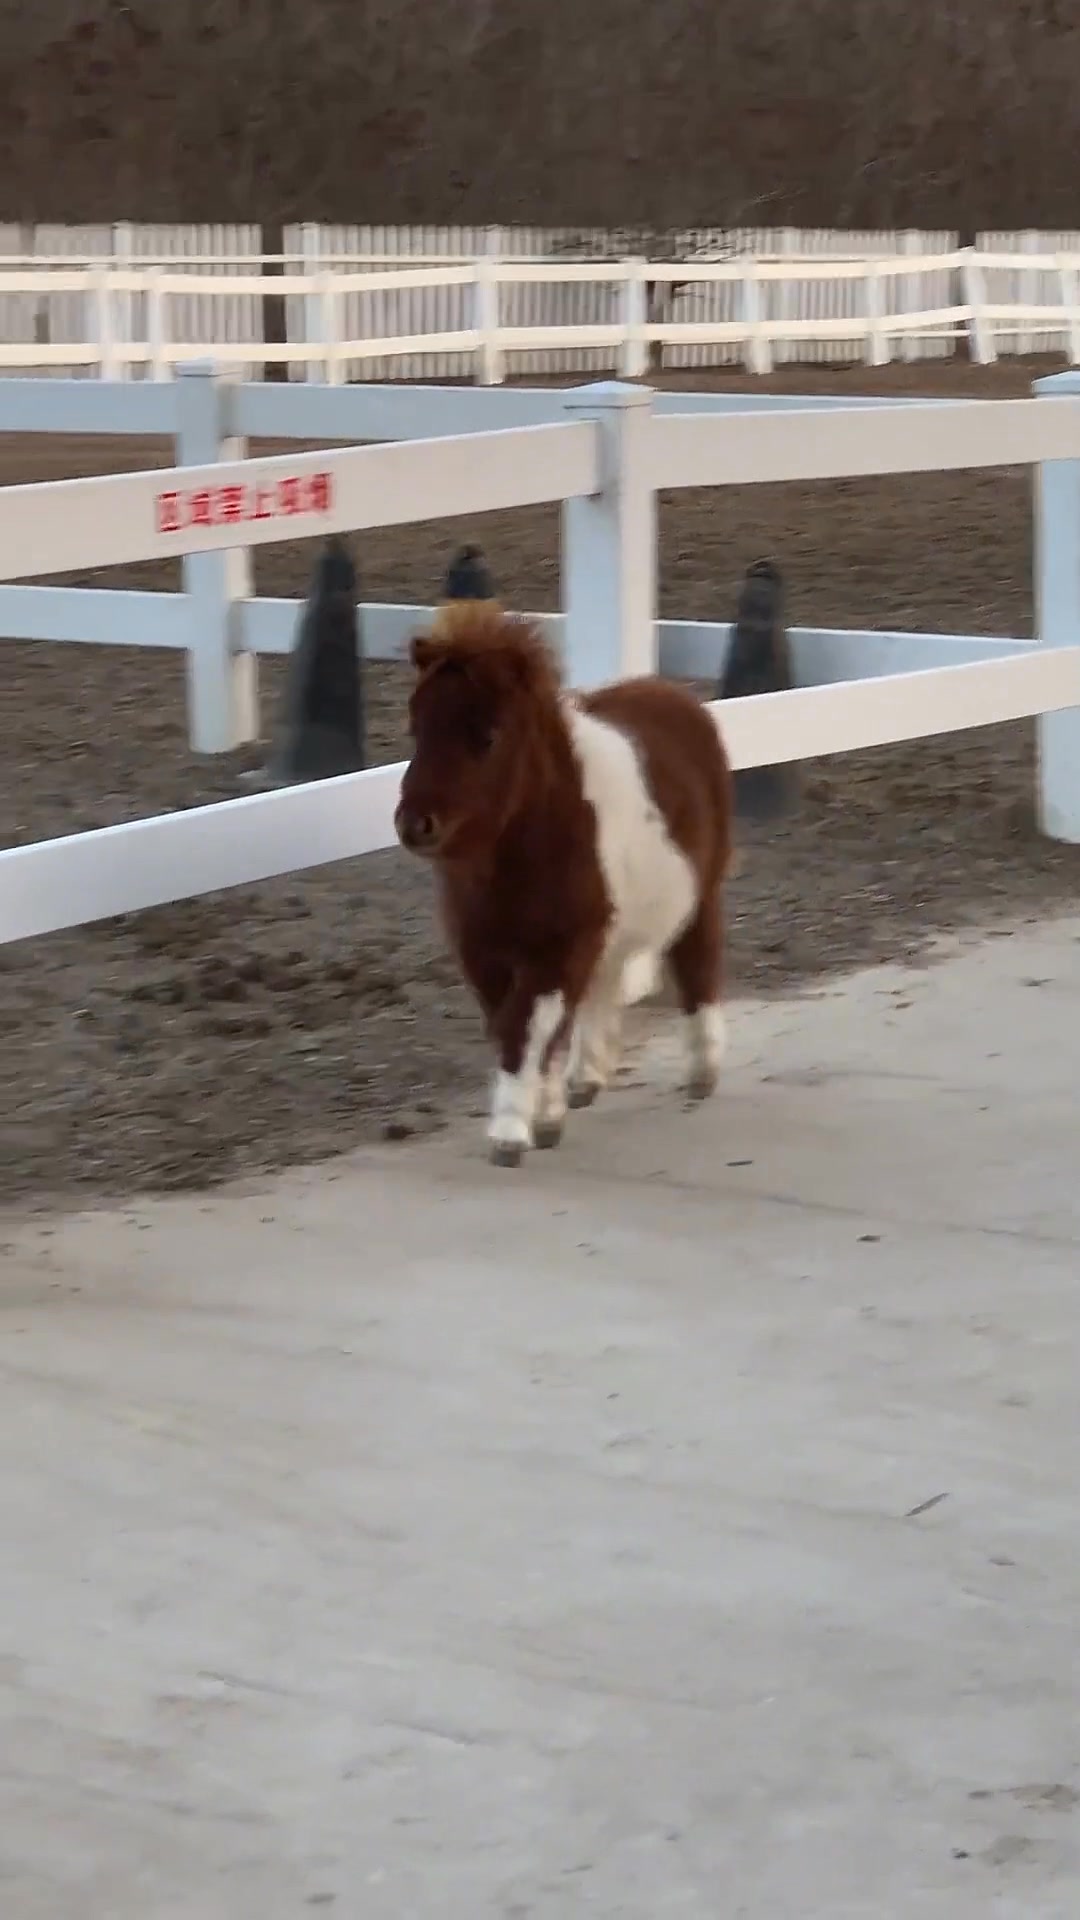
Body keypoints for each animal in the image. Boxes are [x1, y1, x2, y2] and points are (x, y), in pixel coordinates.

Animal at [394, 603, 735, 1167]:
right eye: (415, 729)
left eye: (487, 735)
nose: (415, 825)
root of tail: (677, 696)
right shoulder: (485, 954)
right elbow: (518, 1027)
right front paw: (545, 1113)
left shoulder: (558, 948)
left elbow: (528, 1027)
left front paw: (512, 1133)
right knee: (604, 984)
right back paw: (588, 1078)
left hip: (700, 894)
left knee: (698, 964)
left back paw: (704, 1069)